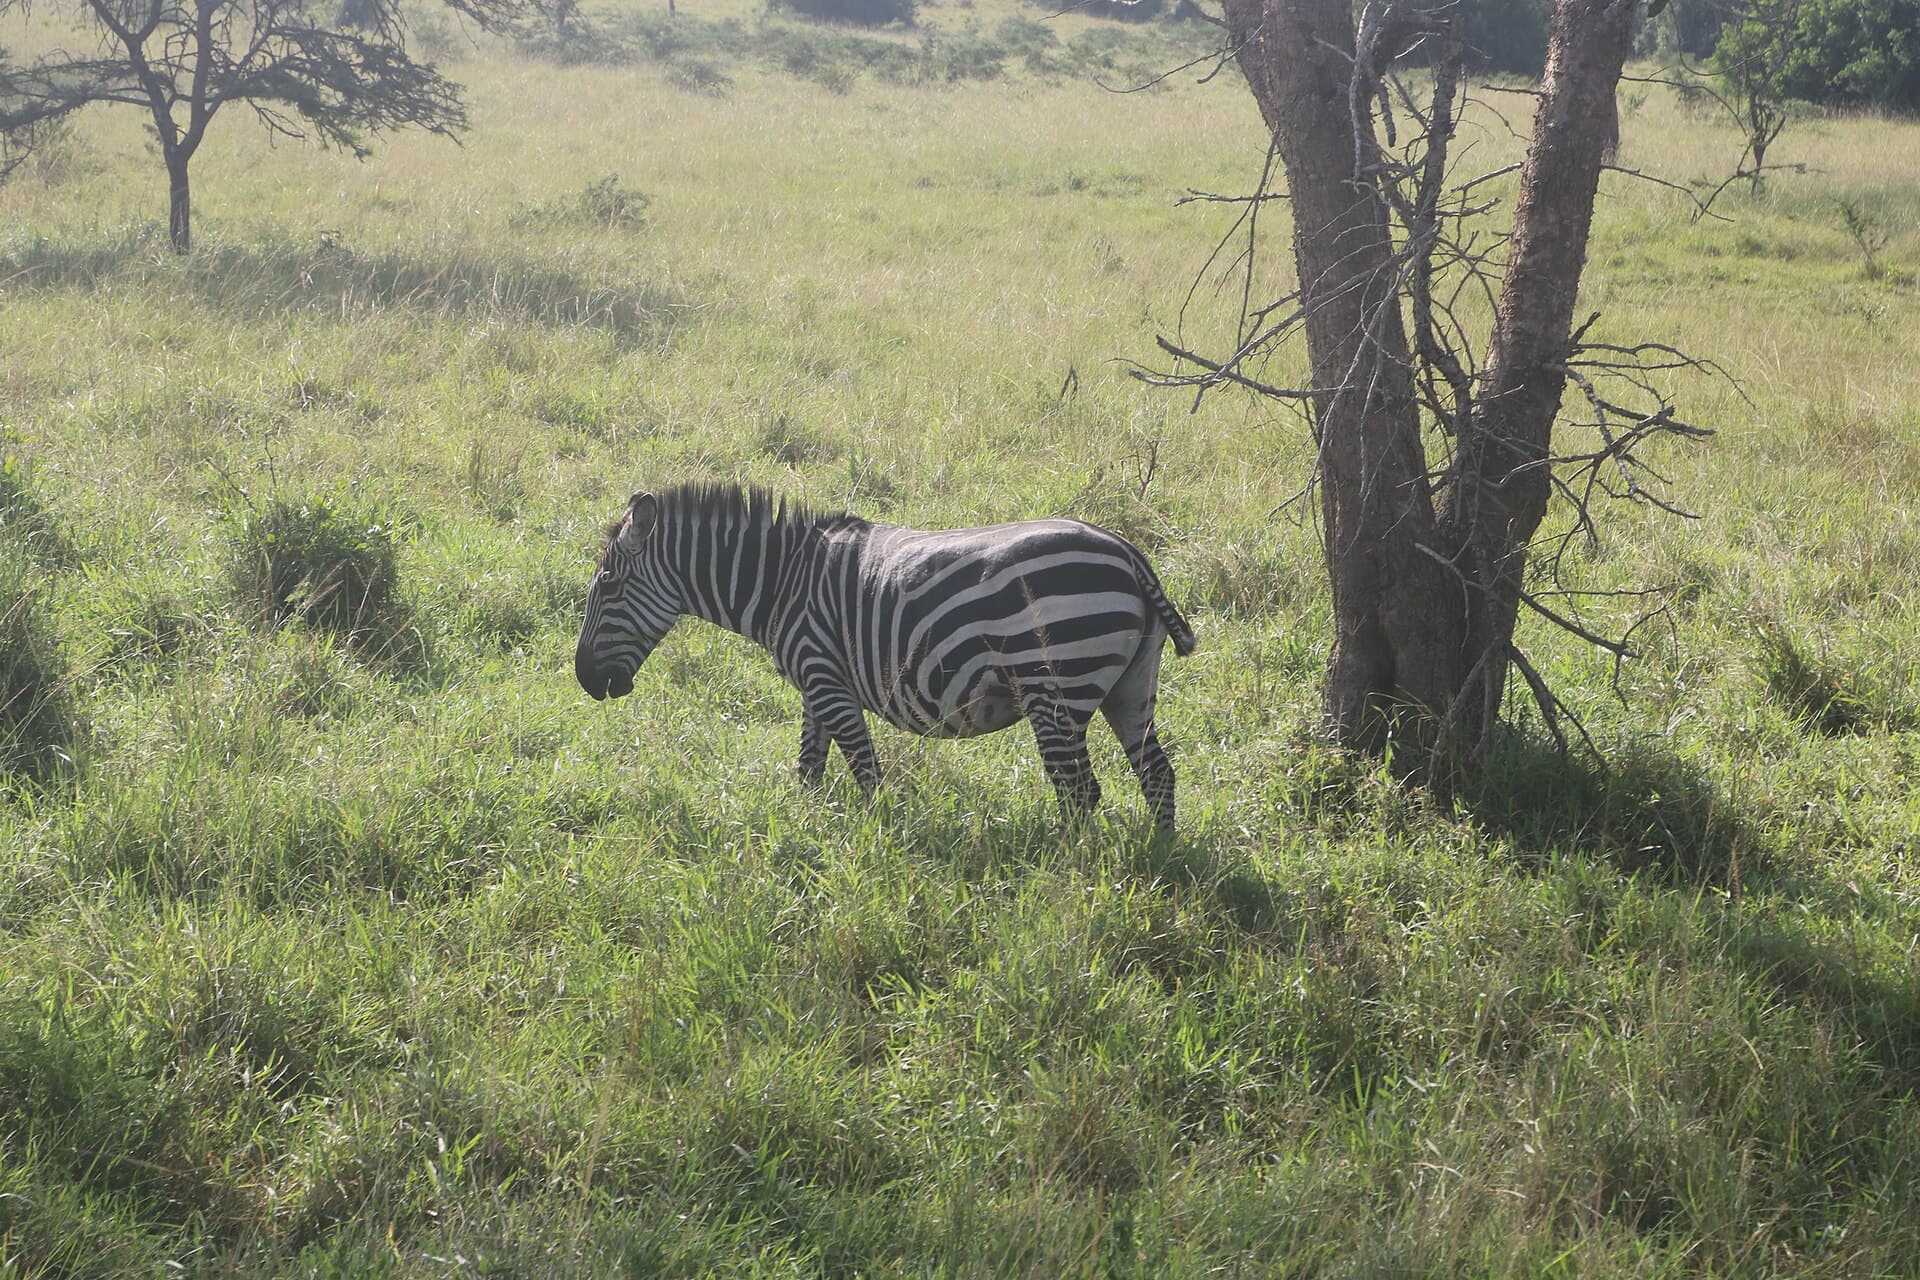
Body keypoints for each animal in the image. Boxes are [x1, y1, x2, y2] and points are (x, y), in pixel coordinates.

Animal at [574, 483, 1197, 831]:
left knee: (1079, 793)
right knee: (1157, 776)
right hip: (1130, 688)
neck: (782, 582)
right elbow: (809, 767)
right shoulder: (817, 683)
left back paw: (1068, 877)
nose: (585, 681)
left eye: (606, 586)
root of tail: (1128, 553)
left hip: (1057, 691)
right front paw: (809, 831)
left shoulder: (827, 680)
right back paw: (1159, 863)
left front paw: (879, 848)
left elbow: (865, 771)